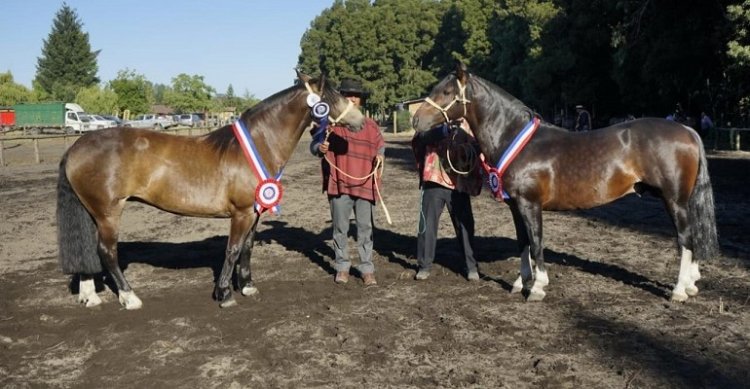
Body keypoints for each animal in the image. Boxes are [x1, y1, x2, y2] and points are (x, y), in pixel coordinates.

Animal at [57, 69, 366, 306]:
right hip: (108, 213)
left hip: (92, 212)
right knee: (107, 252)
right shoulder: (241, 213)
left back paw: (90, 297)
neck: (258, 144)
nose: (361, 121)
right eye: (330, 97)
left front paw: (248, 286)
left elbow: (247, 248)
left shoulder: (254, 212)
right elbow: (232, 249)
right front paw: (225, 294)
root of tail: (76, 147)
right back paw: (129, 297)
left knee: (88, 250)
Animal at [412, 63, 724, 300]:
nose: (415, 120)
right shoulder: (516, 206)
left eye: (447, 92)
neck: (515, 138)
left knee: (685, 238)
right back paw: (691, 284)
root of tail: (686, 130)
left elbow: (536, 242)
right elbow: (523, 243)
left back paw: (679, 290)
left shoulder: (530, 204)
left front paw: (537, 287)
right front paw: (520, 283)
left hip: (674, 200)